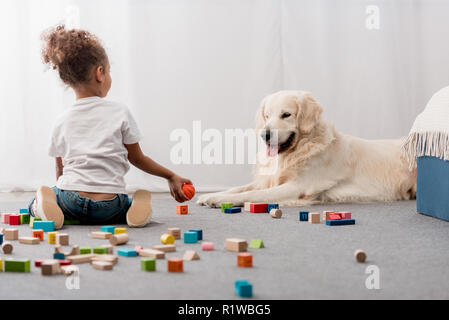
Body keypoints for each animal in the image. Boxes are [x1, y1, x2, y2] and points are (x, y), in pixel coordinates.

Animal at [197, 90, 416, 208]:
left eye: (286, 115)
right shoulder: (267, 180)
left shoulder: (298, 187)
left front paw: (219, 199)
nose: (265, 135)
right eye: (267, 116)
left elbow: (253, 195)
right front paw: (211, 195)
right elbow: (240, 188)